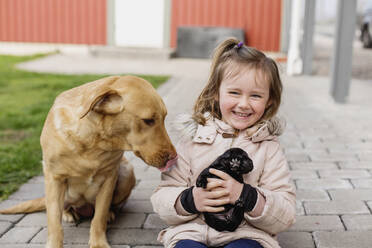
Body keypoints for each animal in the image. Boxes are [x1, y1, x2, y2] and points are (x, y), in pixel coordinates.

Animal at [0, 75, 177, 248]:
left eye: (164, 118)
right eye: (148, 120)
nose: (174, 157)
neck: (94, 143)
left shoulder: (109, 177)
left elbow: (99, 217)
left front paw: (98, 242)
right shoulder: (54, 178)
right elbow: (54, 223)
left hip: (127, 173)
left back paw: (110, 213)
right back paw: (68, 213)